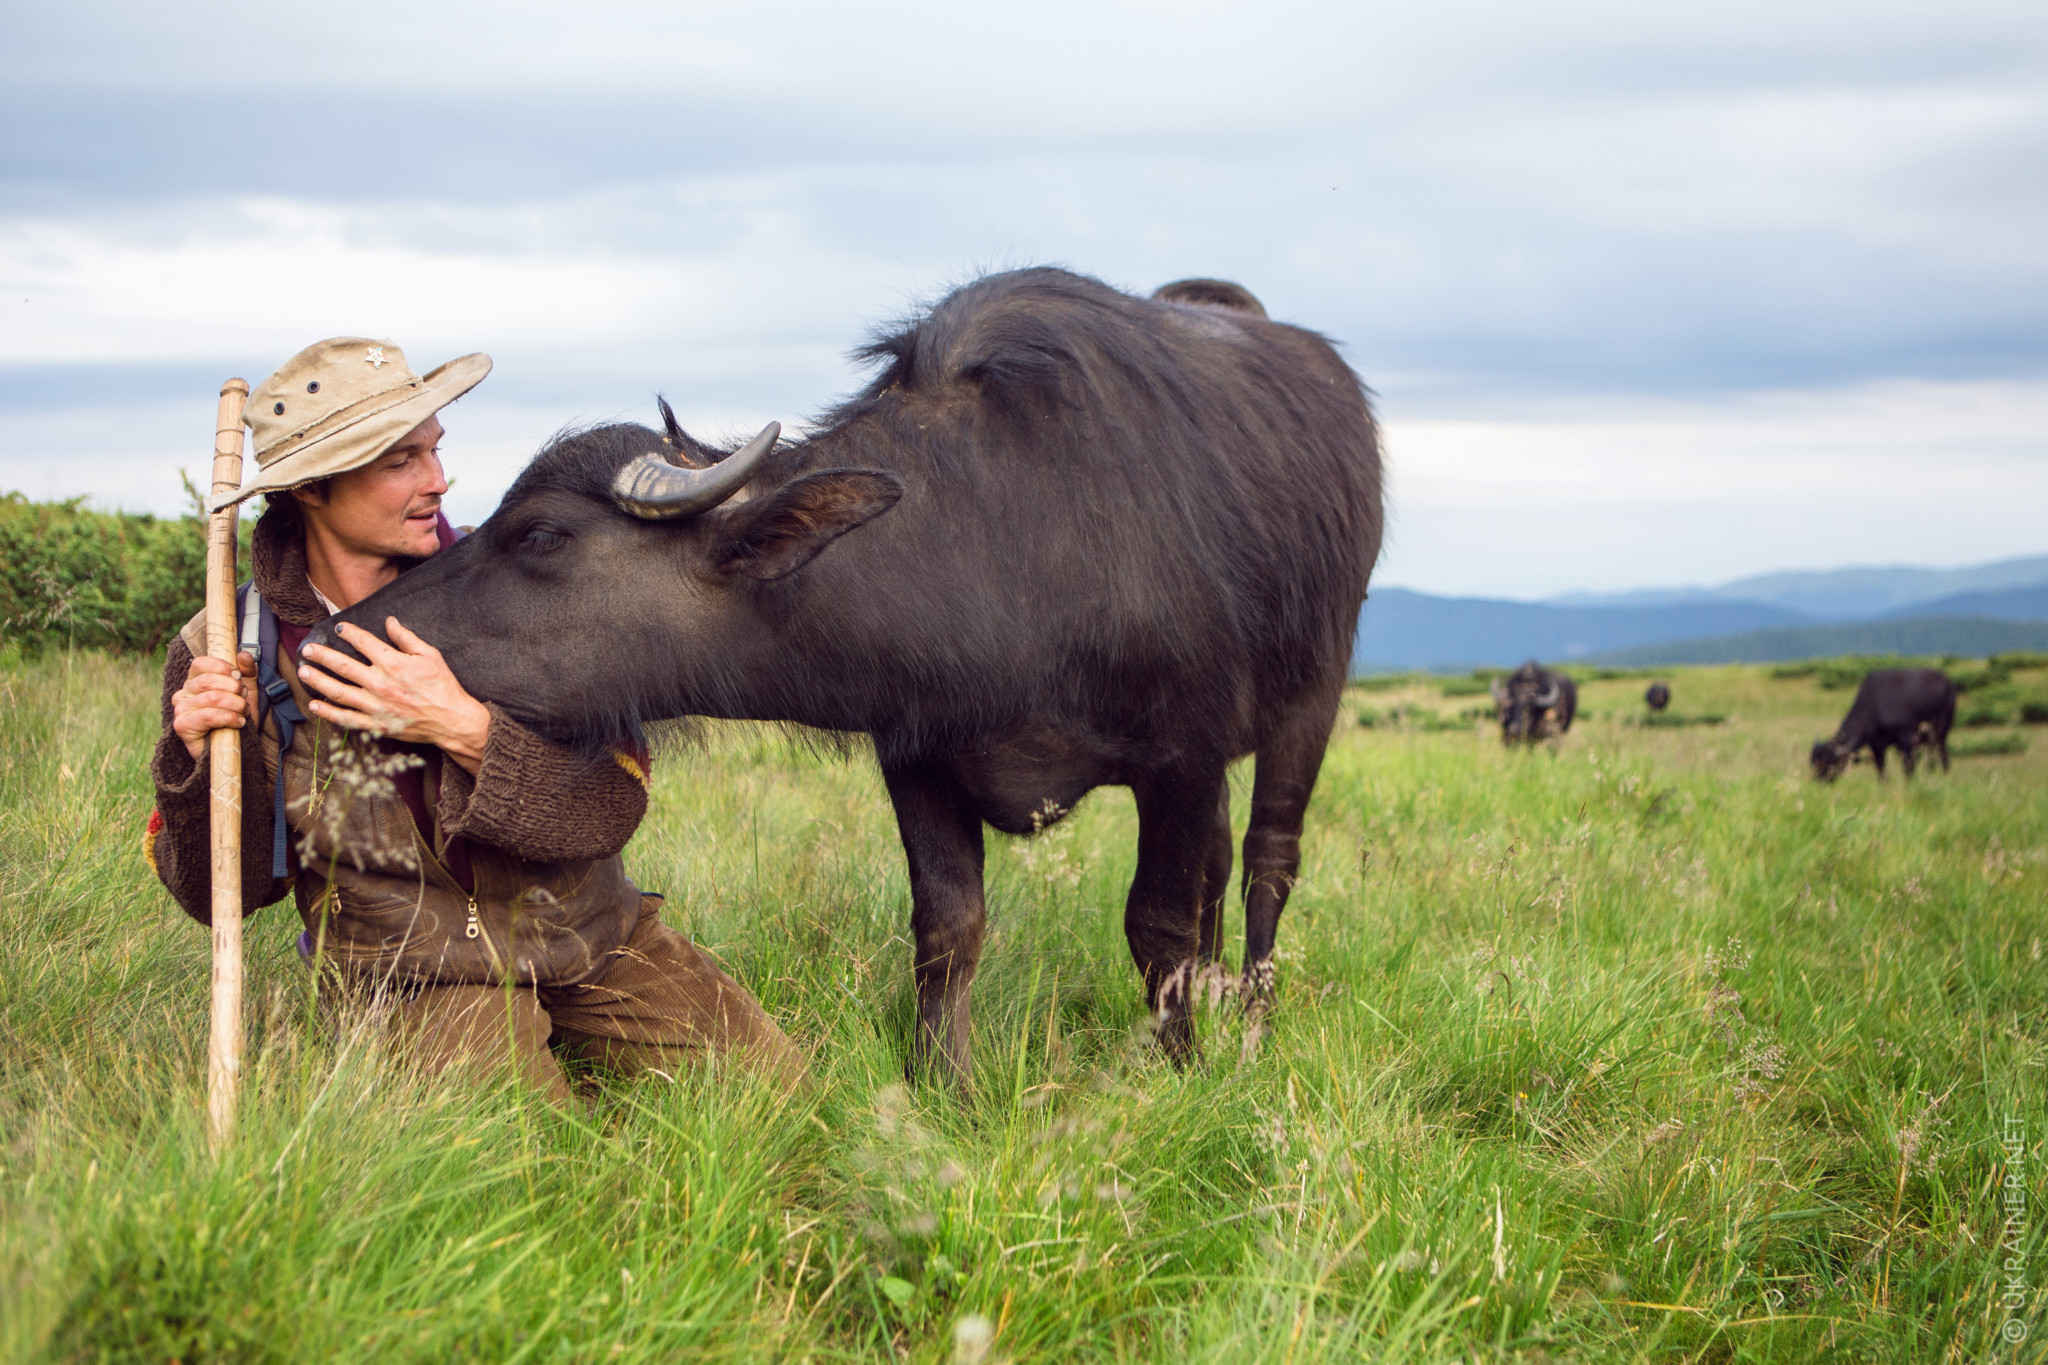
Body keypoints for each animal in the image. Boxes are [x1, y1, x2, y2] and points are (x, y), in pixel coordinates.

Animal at [311, 263, 1384, 1080]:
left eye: (540, 534)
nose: (338, 634)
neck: (1003, 535)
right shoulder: (918, 754)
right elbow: (949, 927)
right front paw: (945, 1083)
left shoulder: (1180, 756)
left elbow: (1155, 923)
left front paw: (1181, 1069)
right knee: (1219, 866)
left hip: (1313, 699)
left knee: (1265, 863)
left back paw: (1250, 1015)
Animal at [1810, 671, 1949, 777]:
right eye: (1813, 762)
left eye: (1829, 763)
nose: (1818, 780)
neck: (1874, 705)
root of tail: (1947, 682)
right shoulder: (1877, 746)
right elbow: (1881, 770)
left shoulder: (1907, 741)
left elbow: (1908, 768)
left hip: (1941, 732)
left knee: (1942, 752)